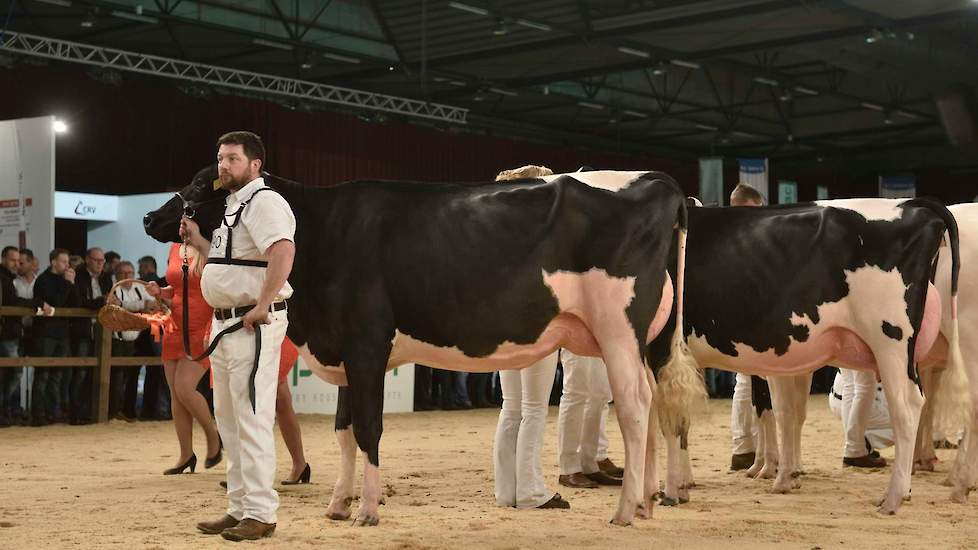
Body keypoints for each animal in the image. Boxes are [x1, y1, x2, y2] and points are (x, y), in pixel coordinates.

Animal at [145, 167, 700, 528]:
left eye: (201, 184)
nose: (151, 216)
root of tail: (659, 182)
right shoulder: (346, 351)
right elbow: (344, 431)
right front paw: (337, 504)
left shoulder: (367, 346)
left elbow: (368, 429)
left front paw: (367, 510)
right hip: (640, 340)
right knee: (651, 404)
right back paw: (647, 501)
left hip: (617, 328)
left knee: (633, 408)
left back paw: (625, 511)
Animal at [648, 199, 960, 516]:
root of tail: (910, 204)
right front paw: (680, 486)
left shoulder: (661, 348)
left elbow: (665, 422)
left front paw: (669, 491)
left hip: (890, 340)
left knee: (907, 407)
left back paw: (893, 498)